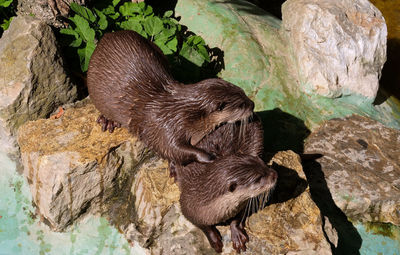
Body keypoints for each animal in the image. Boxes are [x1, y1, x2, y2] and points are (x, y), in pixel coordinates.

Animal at [87, 30, 255, 165]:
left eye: (244, 92)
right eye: (241, 105)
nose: (252, 104)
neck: (182, 113)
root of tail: (107, 36)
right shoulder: (164, 128)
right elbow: (171, 149)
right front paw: (209, 156)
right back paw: (108, 121)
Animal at [175, 118, 278, 253]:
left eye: (262, 163)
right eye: (258, 178)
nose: (275, 174)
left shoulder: (242, 203)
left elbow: (237, 218)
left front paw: (237, 234)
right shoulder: (188, 205)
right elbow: (202, 225)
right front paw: (214, 240)